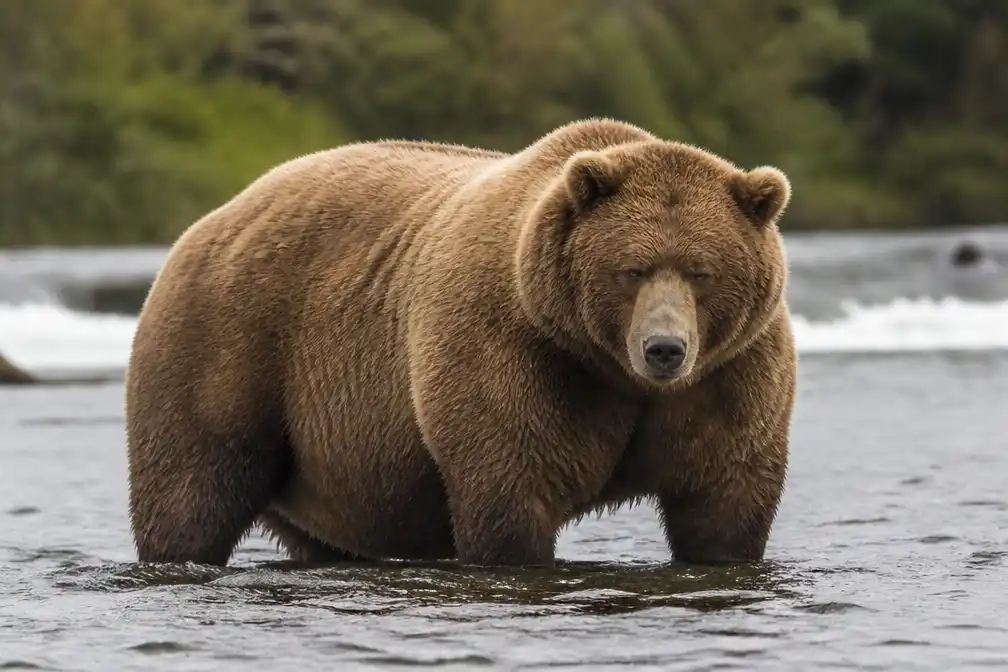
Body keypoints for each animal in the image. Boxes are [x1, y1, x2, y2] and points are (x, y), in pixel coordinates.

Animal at [125, 117, 797, 568]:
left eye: (702, 271)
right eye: (632, 269)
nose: (664, 349)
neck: (608, 366)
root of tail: (213, 218)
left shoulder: (731, 373)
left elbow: (725, 501)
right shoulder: (516, 348)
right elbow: (511, 488)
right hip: (230, 343)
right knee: (191, 490)